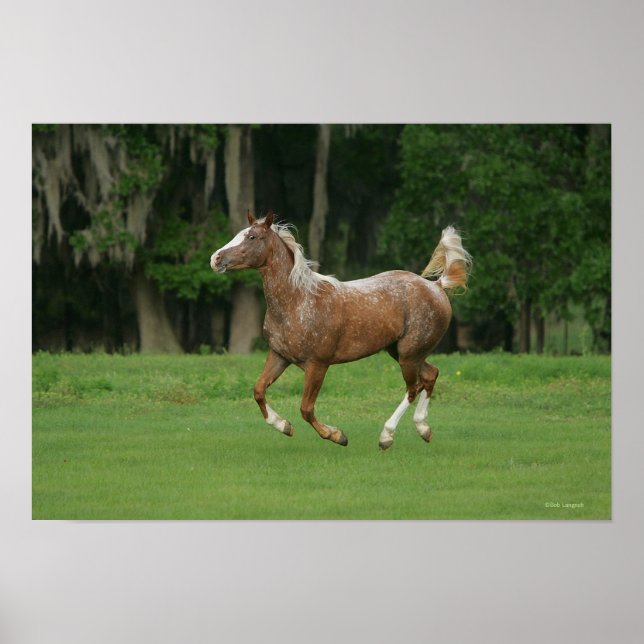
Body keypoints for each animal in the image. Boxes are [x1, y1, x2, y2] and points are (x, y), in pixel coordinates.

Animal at [210, 210, 471, 450]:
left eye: (252, 236)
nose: (215, 258)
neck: (298, 301)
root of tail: (437, 286)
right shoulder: (279, 356)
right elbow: (259, 390)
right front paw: (284, 426)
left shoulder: (317, 364)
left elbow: (306, 409)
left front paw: (337, 436)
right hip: (402, 352)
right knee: (430, 375)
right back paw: (423, 429)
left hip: (409, 354)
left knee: (413, 388)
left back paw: (386, 437)